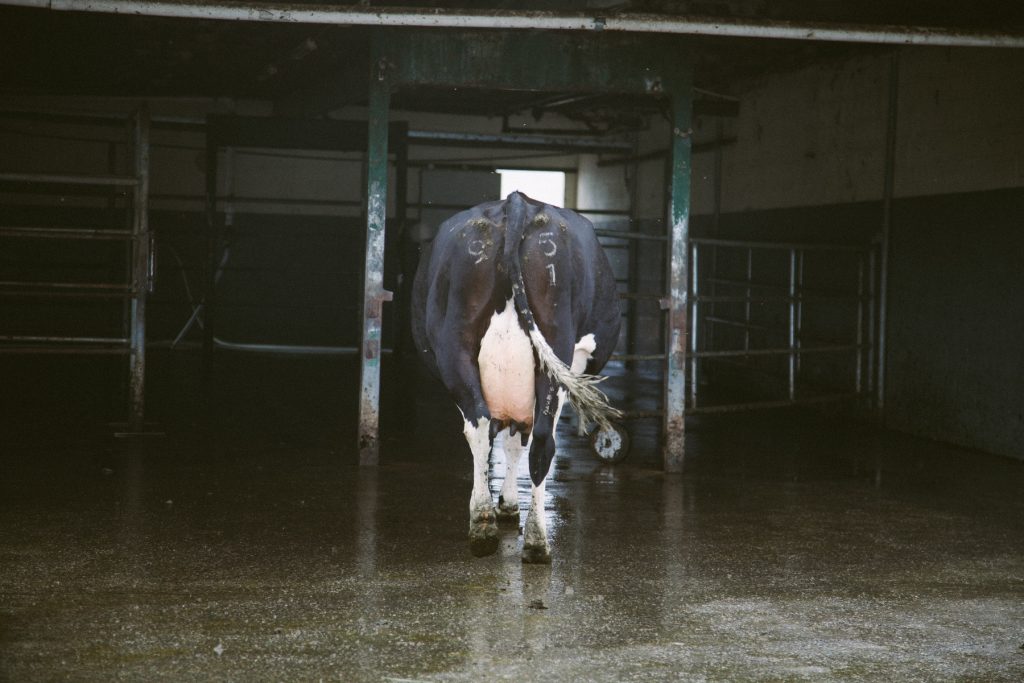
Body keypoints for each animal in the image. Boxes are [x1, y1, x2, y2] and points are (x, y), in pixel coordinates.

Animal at [411, 191, 618, 561]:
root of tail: (516, 202)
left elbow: (510, 440)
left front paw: (504, 505)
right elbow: (515, 442)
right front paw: (507, 504)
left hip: (457, 348)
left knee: (485, 427)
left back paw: (486, 526)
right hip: (553, 349)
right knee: (538, 439)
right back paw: (532, 540)